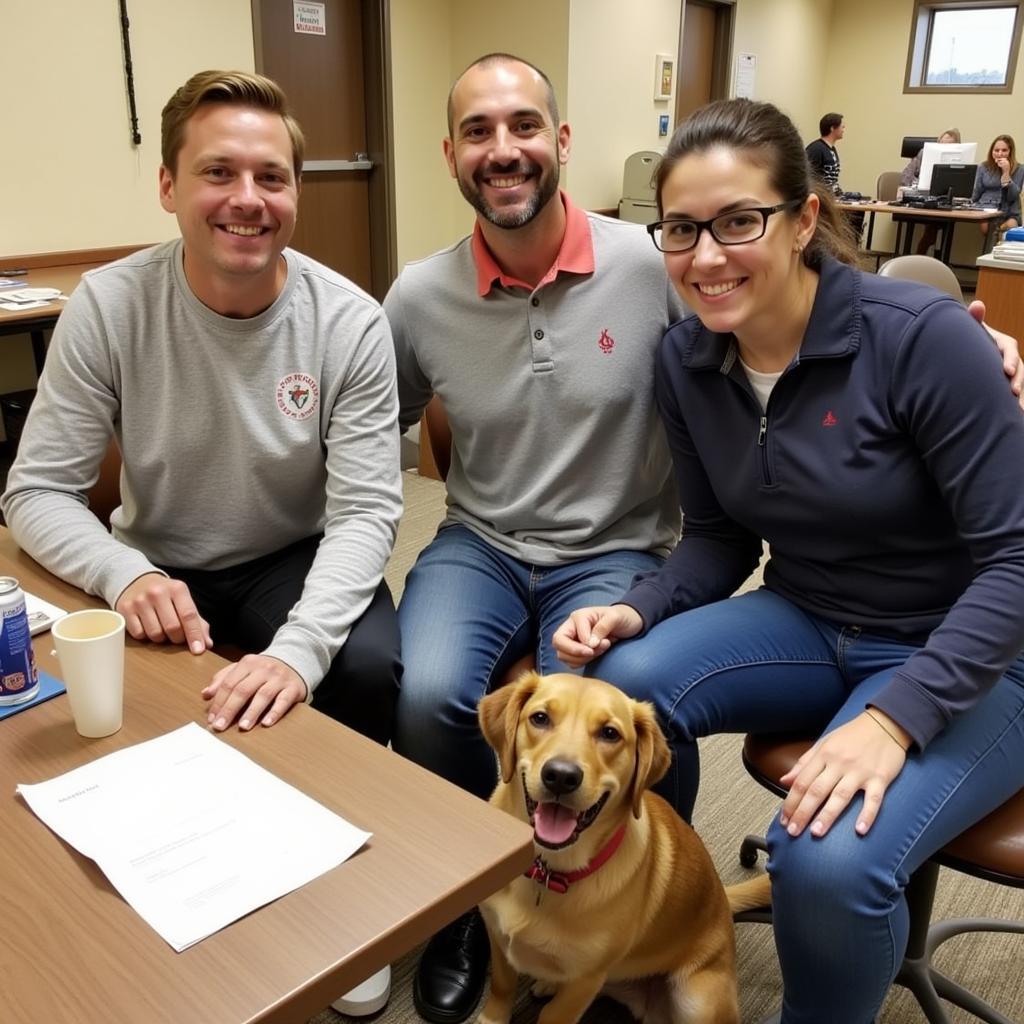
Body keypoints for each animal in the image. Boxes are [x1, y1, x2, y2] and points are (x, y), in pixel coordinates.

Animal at [475, 671, 770, 1024]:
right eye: (540, 718)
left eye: (610, 733)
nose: (561, 776)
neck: (548, 872)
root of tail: (723, 904)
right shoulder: (497, 938)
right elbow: (501, 987)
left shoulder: (584, 982)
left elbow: (554, 1014)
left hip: (697, 1000)